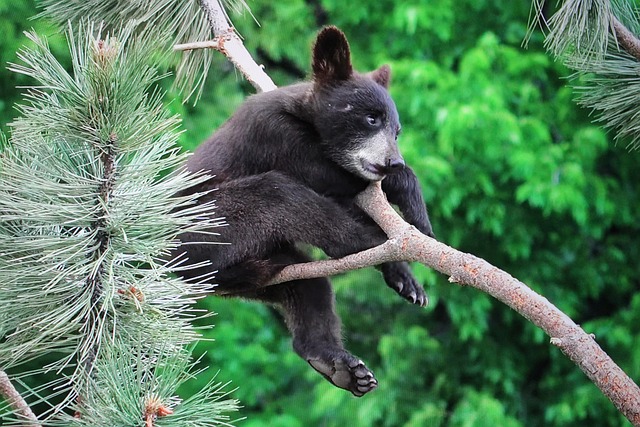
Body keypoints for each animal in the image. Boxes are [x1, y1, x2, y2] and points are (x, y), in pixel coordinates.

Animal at [175, 25, 436, 396]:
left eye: (397, 131)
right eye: (371, 118)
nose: (392, 161)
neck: (305, 117)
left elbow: (344, 199)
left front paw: (406, 281)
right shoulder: (275, 135)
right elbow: (328, 175)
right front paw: (417, 213)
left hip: (263, 268)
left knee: (308, 288)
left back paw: (339, 365)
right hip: (211, 225)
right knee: (280, 195)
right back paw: (373, 242)